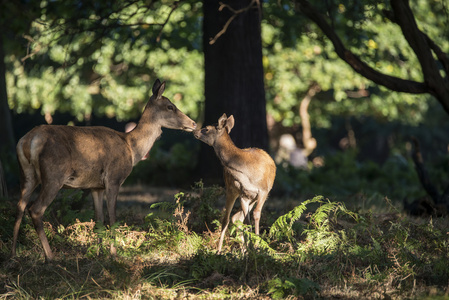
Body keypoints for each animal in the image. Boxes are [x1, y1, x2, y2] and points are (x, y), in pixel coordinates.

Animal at [10, 79, 194, 260]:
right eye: (170, 106)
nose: (193, 123)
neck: (131, 148)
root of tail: (29, 140)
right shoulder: (114, 179)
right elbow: (112, 219)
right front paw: (114, 255)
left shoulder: (95, 186)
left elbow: (99, 219)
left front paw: (99, 253)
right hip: (53, 175)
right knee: (35, 209)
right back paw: (50, 257)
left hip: (26, 175)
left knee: (19, 206)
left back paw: (12, 251)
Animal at [193, 113, 274, 252]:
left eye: (207, 128)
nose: (195, 131)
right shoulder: (244, 194)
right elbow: (246, 221)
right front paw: (250, 248)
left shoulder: (263, 191)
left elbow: (256, 215)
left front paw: (257, 246)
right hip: (232, 190)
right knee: (231, 218)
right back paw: (224, 250)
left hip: (254, 195)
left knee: (237, 217)